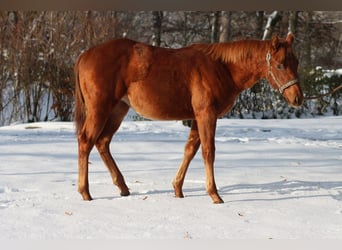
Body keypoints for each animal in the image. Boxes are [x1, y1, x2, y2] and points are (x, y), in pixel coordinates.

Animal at [74, 32, 302, 203]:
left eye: (296, 62)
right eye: (280, 65)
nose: (298, 98)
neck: (222, 68)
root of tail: (85, 55)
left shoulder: (197, 117)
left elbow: (190, 150)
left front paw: (177, 189)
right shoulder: (206, 114)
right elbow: (208, 152)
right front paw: (214, 194)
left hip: (118, 109)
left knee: (102, 142)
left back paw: (122, 186)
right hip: (100, 109)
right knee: (86, 141)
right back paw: (85, 192)